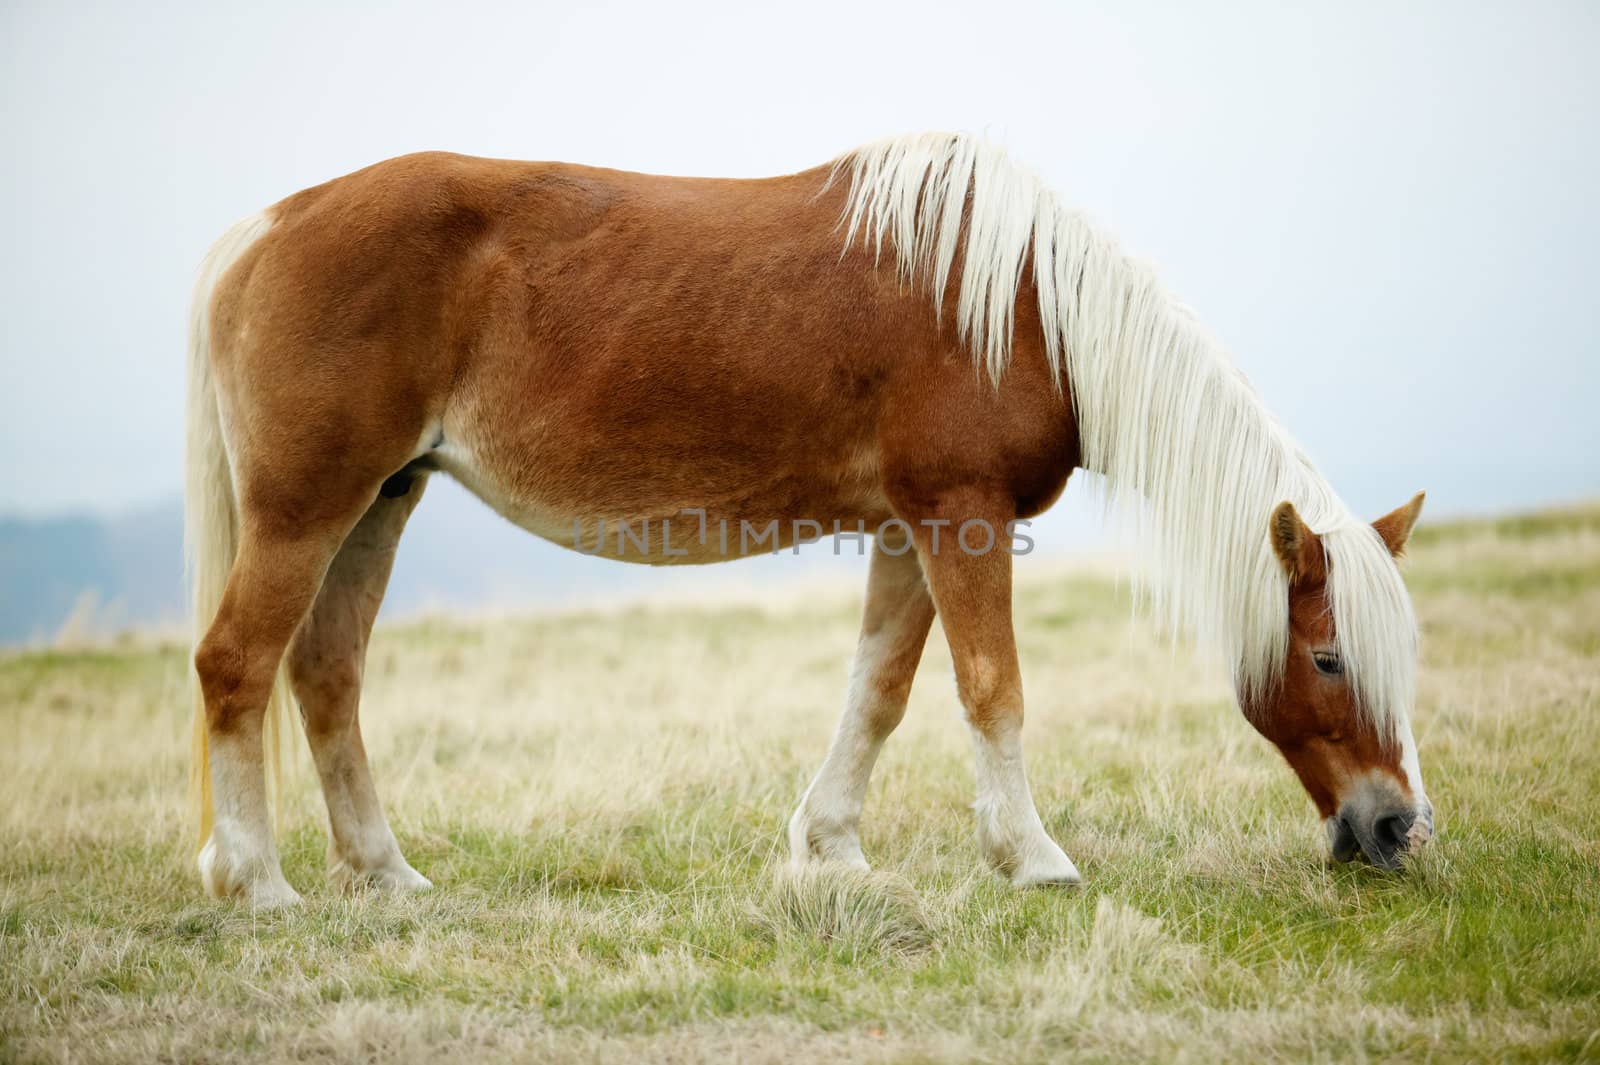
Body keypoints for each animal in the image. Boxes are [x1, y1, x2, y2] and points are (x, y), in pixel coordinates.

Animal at [187, 128, 1440, 901]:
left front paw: (828, 847)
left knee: (326, 675)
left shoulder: (908, 529)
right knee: (237, 665)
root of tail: (268, 227)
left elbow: (878, 691)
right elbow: (991, 690)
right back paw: (257, 881)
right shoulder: (963, 516)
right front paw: (1032, 858)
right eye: (1326, 658)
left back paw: (384, 875)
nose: (1397, 829)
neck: (1018, 302)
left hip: (381, 501)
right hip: (307, 507)